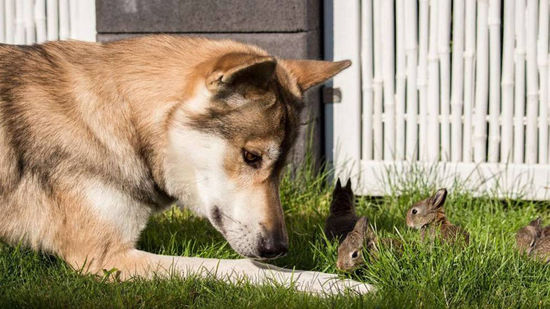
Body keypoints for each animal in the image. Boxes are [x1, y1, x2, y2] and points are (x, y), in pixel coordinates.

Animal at [0, 35, 376, 294]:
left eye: (281, 167)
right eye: (251, 157)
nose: (278, 248)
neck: (125, 120)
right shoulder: (102, 258)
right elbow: (246, 268)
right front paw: (336, 285)